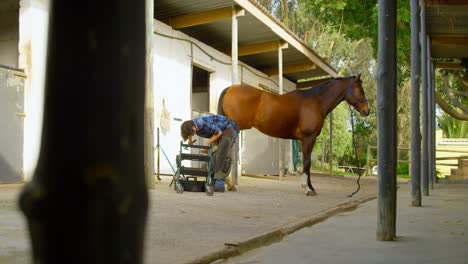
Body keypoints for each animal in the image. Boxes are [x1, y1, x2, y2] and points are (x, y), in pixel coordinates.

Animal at [218, 74, 370, 196]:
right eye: (360, 90)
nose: (367, 111)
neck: (316, 101)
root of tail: (230, 89)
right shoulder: (309, 138)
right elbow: (307, 163)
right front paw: (307, 189)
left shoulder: (307, 140)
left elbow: (307, 162)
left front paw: (311, 188)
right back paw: (228, 184)